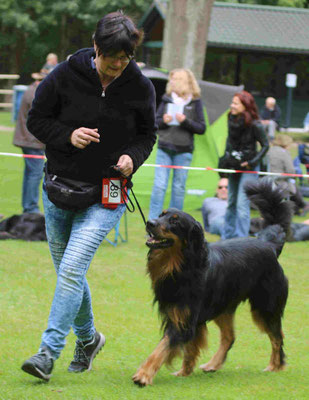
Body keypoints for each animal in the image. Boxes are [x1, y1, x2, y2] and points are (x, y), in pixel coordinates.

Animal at [132, 178, 292, 384]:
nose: (150, 222)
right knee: (230, 337)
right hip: (224, 306)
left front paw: (143, 375)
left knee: (277, 336)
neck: (182, 266)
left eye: (174, 221)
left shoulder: (183, 322)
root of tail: (269, 245)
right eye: (161, 215)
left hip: (265, 307)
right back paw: (213, 364)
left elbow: (162, 348)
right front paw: (184, 371)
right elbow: (189, 349)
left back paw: (275, 365)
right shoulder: (186, 318)